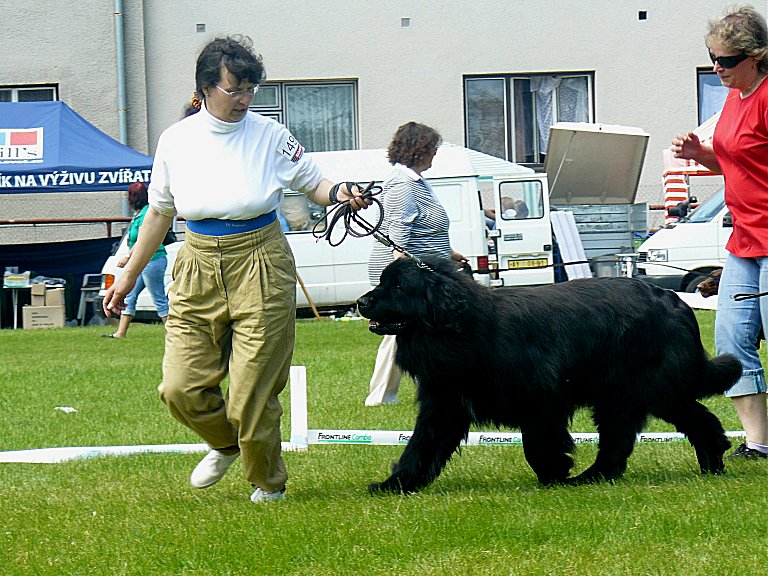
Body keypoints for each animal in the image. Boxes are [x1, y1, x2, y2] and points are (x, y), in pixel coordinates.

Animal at [356, 258, 740, 492]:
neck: (464, 327)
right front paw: (396, 484)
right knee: (630, 437)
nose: (361, 302)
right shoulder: (445, 402)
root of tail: (675, 301)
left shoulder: (539, 400)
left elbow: (538, 443)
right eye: (383, 282)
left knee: (679, 423)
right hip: (624, 394)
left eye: (397, 287)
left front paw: (554, 473)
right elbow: (421, 446)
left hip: (647, 388)